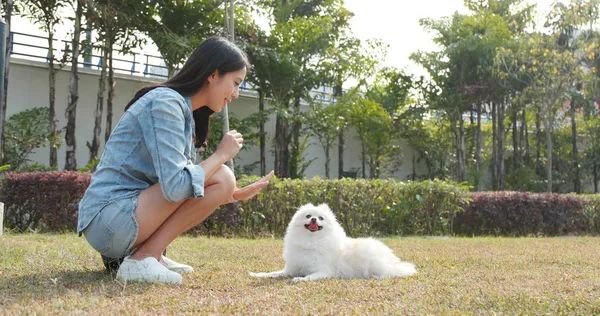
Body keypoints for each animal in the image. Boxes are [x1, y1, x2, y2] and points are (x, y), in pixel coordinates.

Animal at [248, 204, 418, 282]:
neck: (311, 241)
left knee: (390, 272)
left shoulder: (324, 272)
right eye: (308, 215)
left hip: (373, 261)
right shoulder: (290, 269)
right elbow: (272, 273)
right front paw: (257, 274)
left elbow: (308, 277)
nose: (314, 219)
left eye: (321, 218)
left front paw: (299, 279)